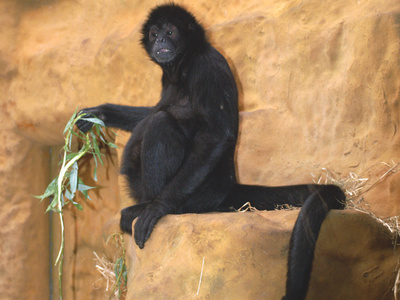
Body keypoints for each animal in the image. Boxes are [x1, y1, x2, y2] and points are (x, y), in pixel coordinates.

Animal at [76, 2, 346, 300]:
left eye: (170, 32)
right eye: (154, 34)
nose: (160, 42)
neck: (183, 67)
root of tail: (227, 185)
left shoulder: (207, 66)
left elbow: (215, 135)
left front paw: (158, 207)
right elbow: (149, 113)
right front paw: (98, 113)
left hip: (200, 194)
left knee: (161, 123)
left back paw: (147, 207)